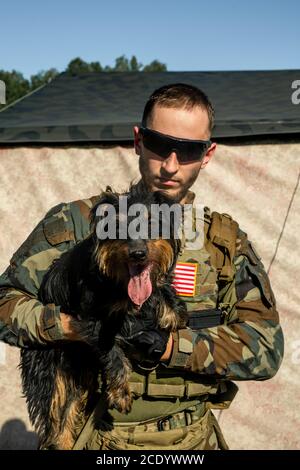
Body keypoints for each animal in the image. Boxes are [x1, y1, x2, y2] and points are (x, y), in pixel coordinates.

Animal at [19, 185, 186, 448]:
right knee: (55, 417)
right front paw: (121, 393)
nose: (138, 253)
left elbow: (158, 290)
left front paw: (172, 310)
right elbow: (113, 352)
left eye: (151, 223)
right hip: (52, 372)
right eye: (118, 226)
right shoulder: (91, 319)